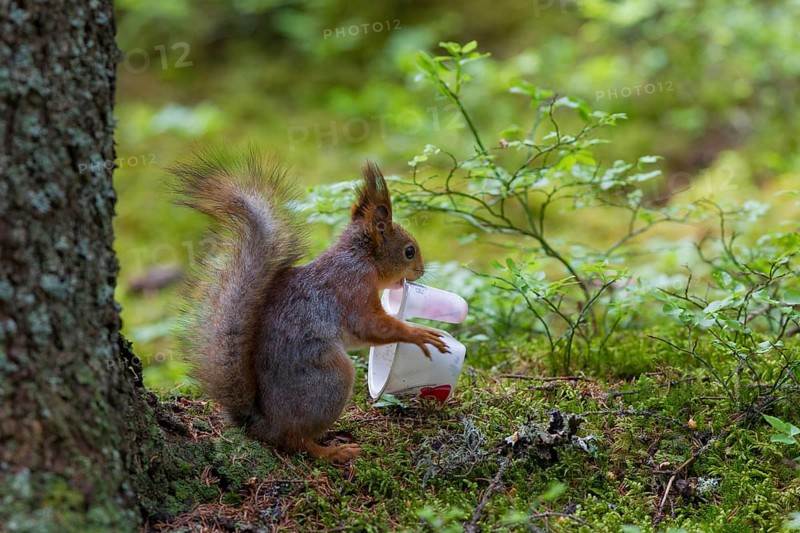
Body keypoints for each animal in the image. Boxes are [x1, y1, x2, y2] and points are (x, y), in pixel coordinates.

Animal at [169, 150, 449, 462]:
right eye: (409, 251)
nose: (421, 272)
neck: (360, 259)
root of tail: (265, 425)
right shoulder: (353, 289)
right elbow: (371, 326)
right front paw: (418, 333)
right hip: (331, 379)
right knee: (295, 440)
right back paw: (333, 451)